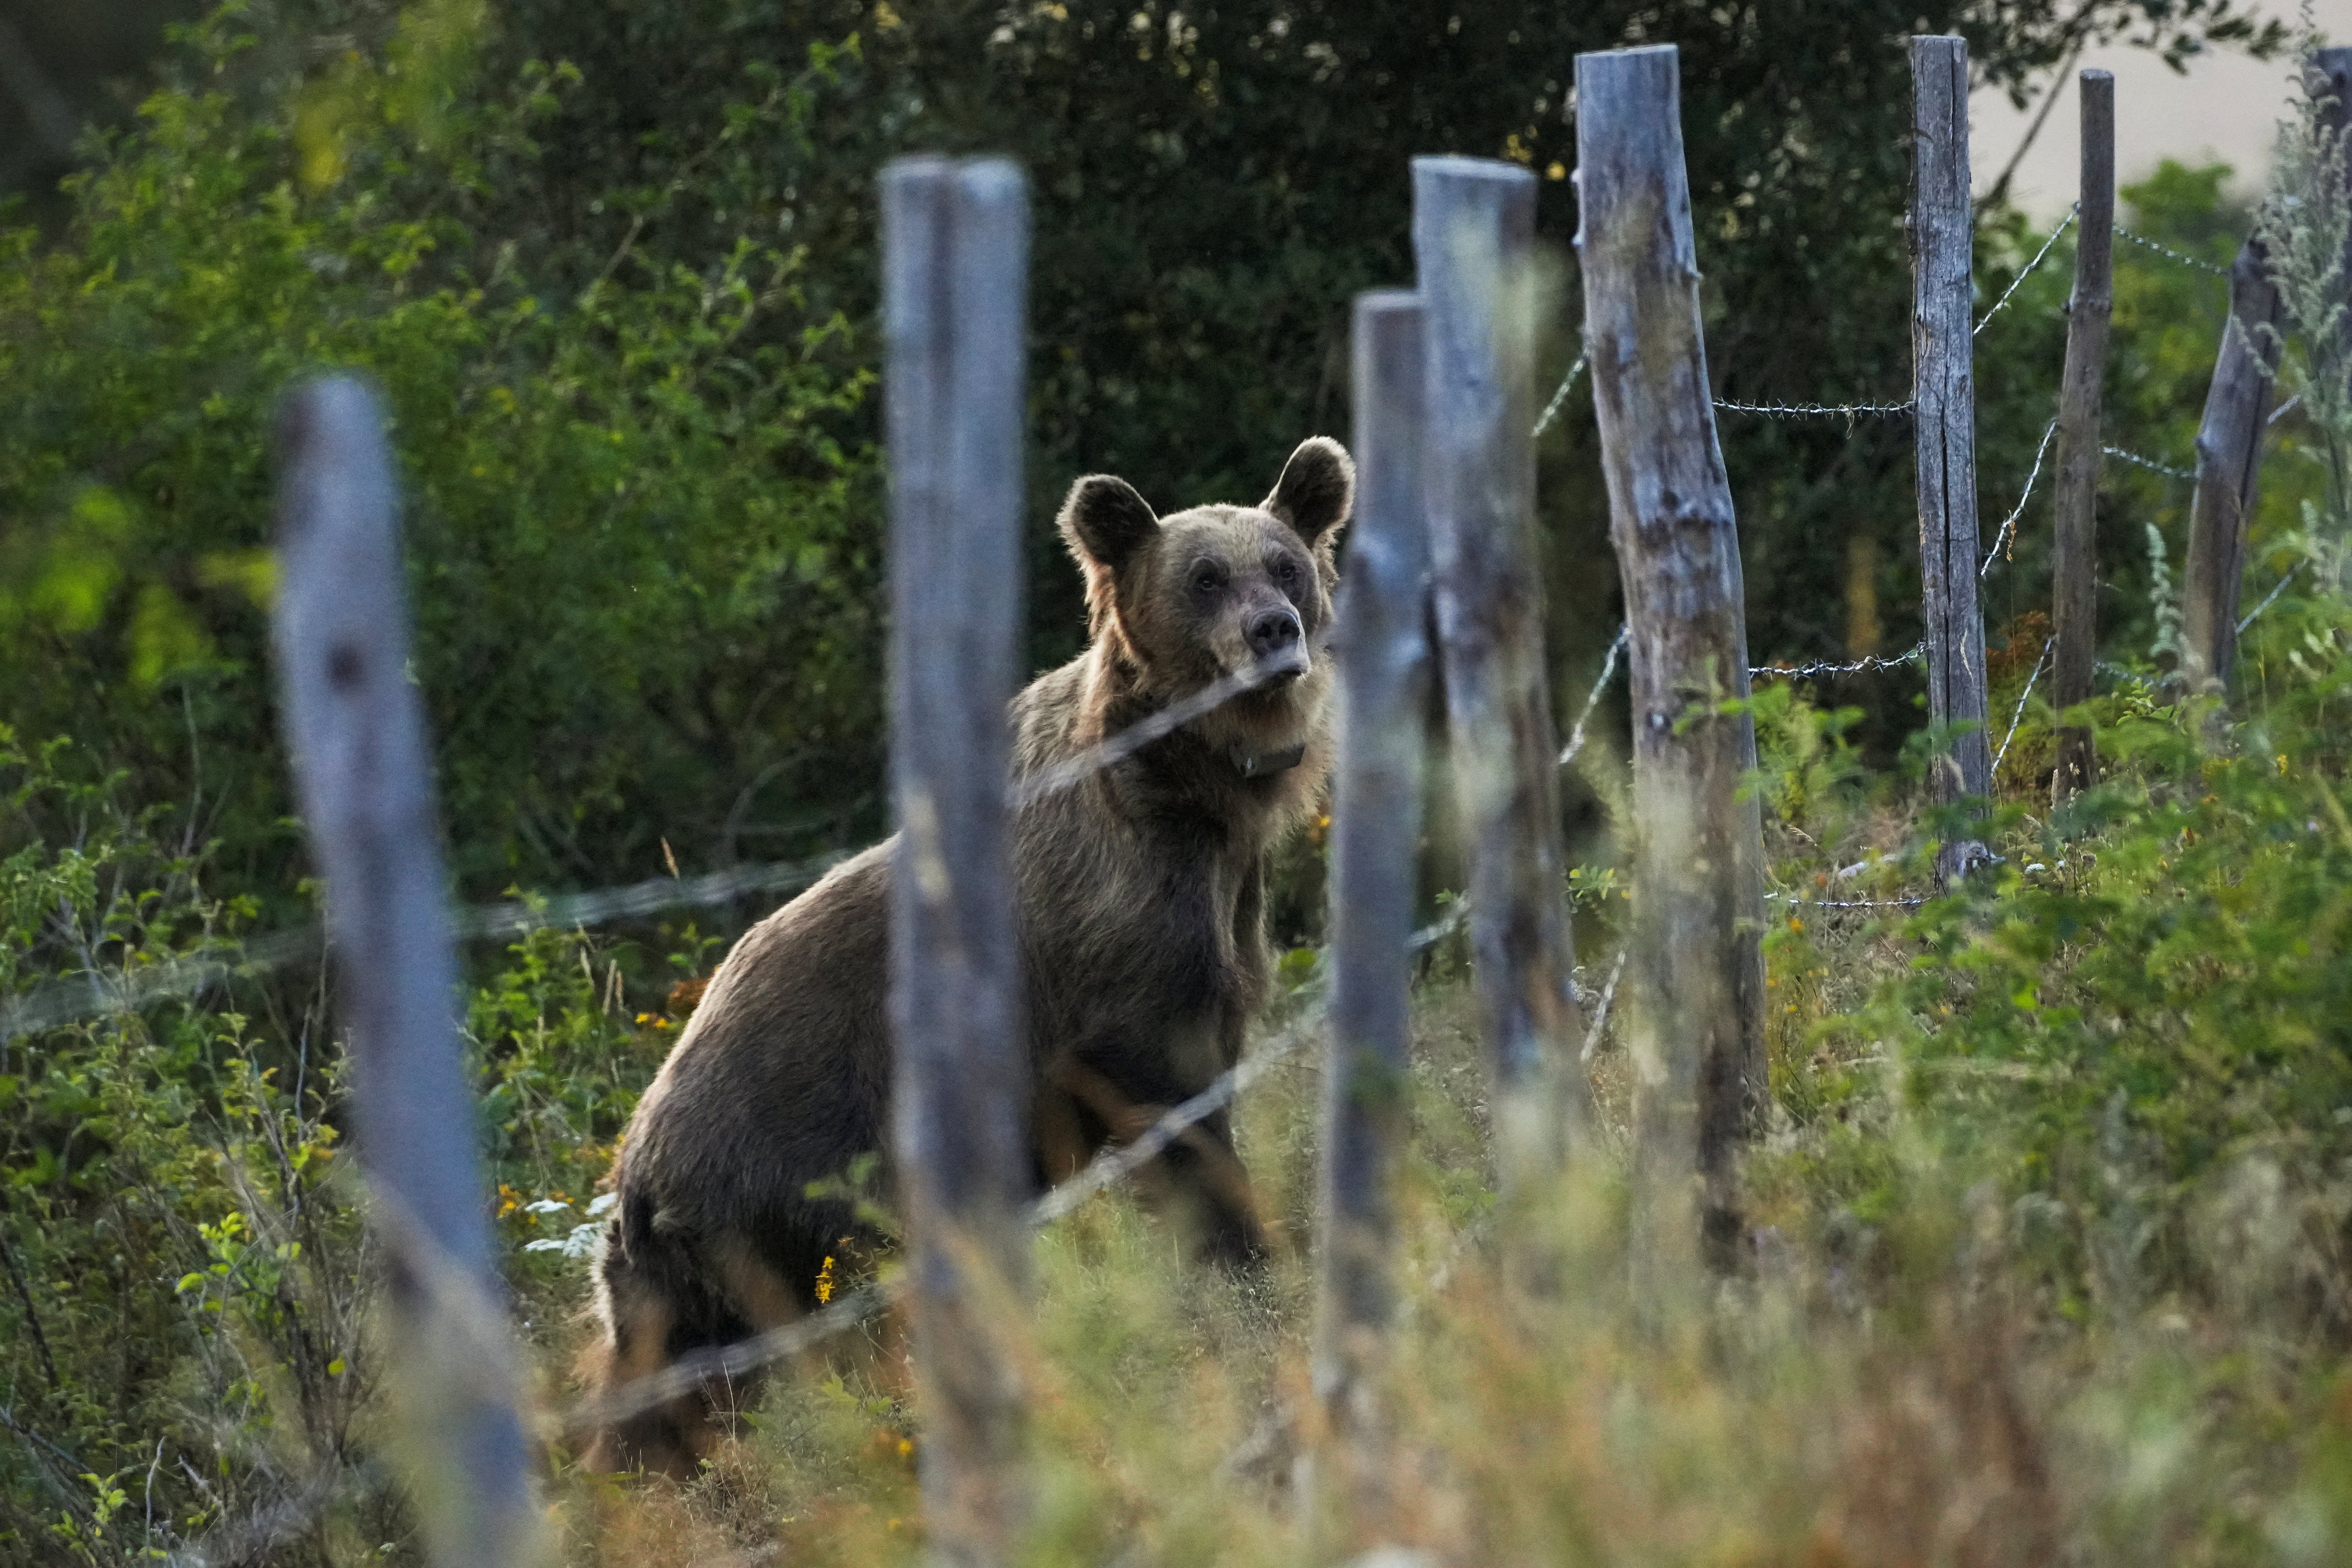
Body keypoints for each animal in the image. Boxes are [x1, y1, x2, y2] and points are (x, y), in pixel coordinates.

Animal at [579, 435, 1355, 1476]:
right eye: (1203, 577)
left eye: (1284, 562)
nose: (1274, 630)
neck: (1192, 794)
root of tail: (630, 1165)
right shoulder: (1118, 941)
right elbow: (1171, 1109)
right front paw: (1247, 1259)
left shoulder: (1219, 916)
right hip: (761, 1203)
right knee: (702, 1370)